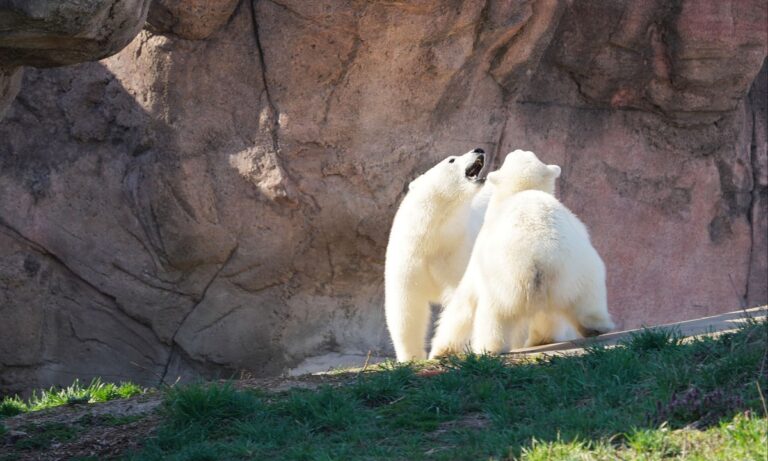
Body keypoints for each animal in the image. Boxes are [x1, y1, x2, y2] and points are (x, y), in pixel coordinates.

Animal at [384, 147, 486, 360]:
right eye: (451, 160)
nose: (479, 149)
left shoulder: (458, 252)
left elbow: (461, 301)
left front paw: (442, 350)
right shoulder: (408, 258)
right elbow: (406, 306)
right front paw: (410, 357)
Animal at [428, 149, 616, 358]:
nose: (518, 149)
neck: (523, 191)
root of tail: (539, 258)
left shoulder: (480, 250)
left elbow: (463, 303)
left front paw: (441, 350)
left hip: (501, 280)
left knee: (495, 314)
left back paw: (489, 347)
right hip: (579, 272)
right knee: (581, 303)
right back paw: (592, 328)